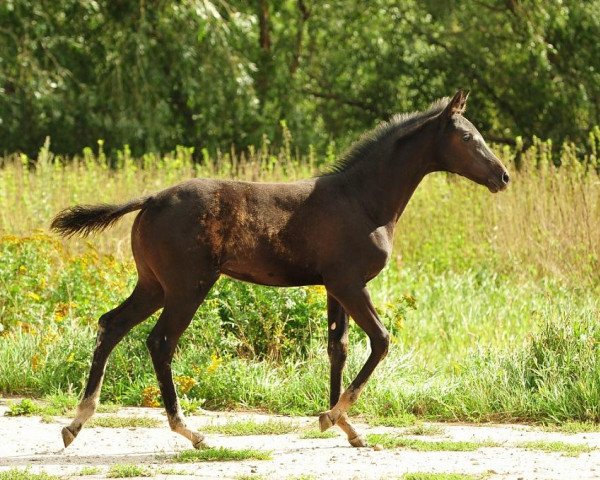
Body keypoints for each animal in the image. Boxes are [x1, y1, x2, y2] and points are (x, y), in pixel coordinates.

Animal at [52, 90, 510, 450]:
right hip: (187, 286)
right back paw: (191, 432)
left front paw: (346, 427)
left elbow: (338, 348)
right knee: (160, 342)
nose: (502, 176)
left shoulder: (334, 286)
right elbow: (380, 340)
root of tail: (150, 199)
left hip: (154, 285)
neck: (362, 200)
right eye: (467, 137)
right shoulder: (350, 283)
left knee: (112, 324)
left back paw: (76, 424)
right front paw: (333, 416)